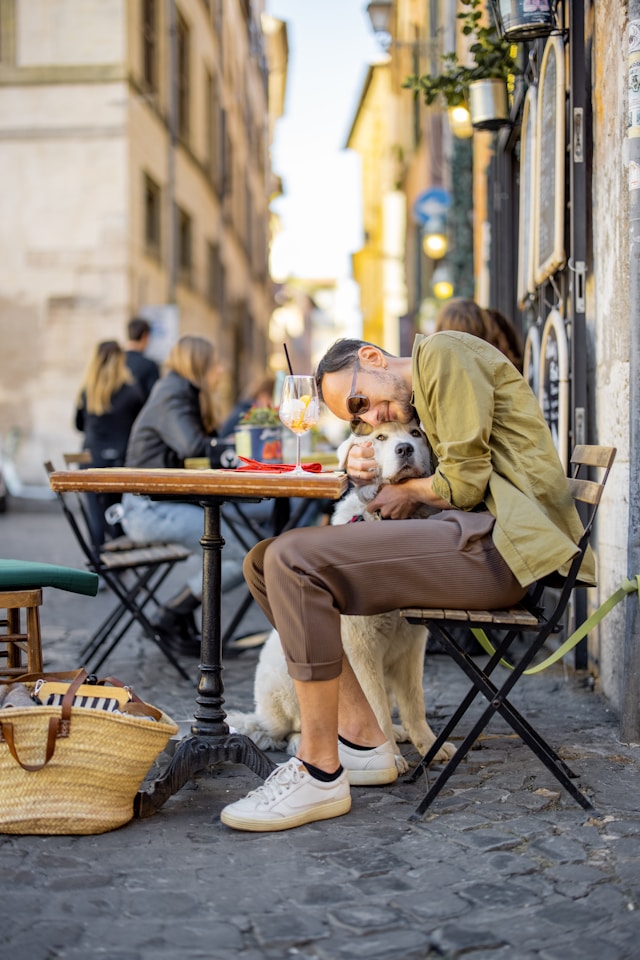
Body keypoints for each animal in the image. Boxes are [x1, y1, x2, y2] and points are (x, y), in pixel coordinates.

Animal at [226, 420, 456, 772]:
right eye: (380, 437)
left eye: (416, 434)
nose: (404, 449)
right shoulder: (362, 647)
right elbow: (375, 707)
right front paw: (391, 758)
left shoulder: (412, 645)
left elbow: (414, 703)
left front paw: (429, 746)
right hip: (285, 674)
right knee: (296, 727)